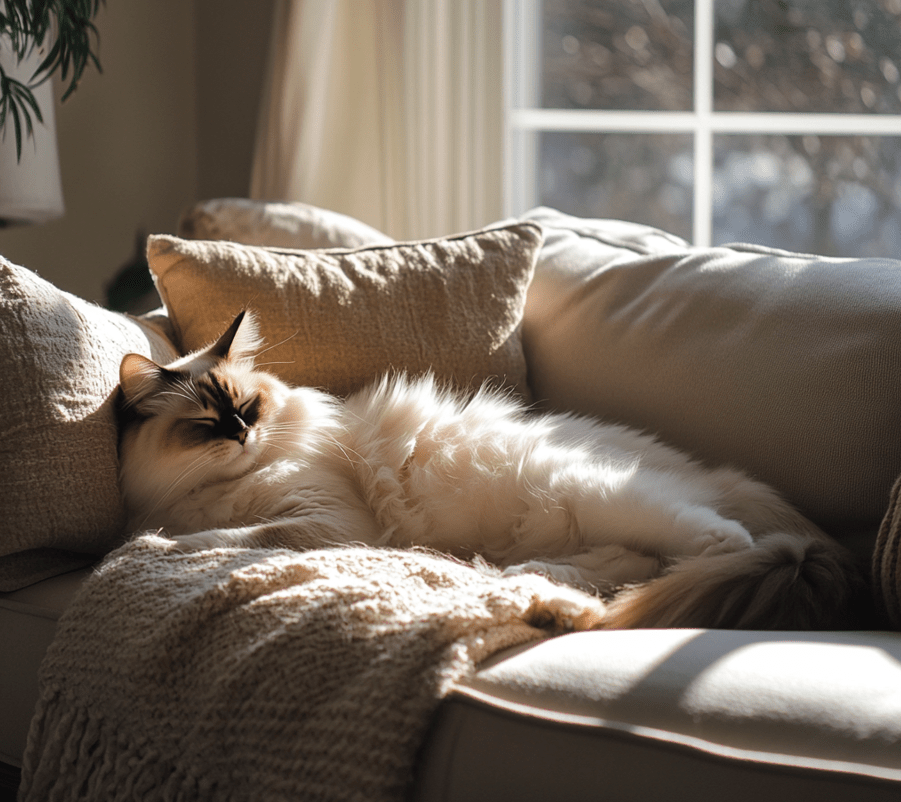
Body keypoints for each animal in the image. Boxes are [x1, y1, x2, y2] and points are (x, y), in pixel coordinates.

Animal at [116, 310, 860, 628]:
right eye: (206, 426)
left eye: (246, 407)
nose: (245, 436)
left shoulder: (330, 519)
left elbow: (236, 537)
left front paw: (162, 544)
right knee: (642, 566)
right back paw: (532, 585)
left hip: (595, 492)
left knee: (715, 545)